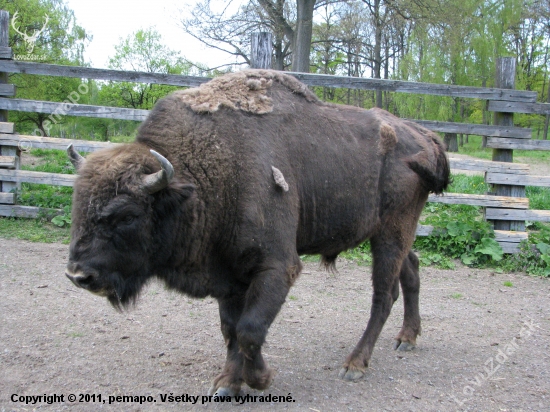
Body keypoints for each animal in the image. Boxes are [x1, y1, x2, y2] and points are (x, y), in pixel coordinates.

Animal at [67, 70, 450, 396]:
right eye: (78, 202)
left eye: (127, 215)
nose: (78, 275)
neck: (207, 173)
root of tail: (425, 135)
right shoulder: (228, 275)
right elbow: (231, 329)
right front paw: (227, 383)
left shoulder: (277, 267)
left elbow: (250, 330)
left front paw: (261, 379)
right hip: (392, 233)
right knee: (411, 271)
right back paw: (407, 338)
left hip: (391, 233)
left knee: (383, 295)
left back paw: (355, 365)